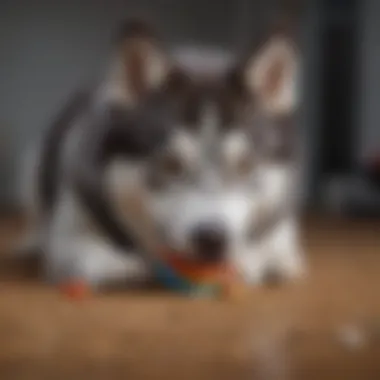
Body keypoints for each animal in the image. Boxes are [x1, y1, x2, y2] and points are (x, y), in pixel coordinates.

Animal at [18, 18, 306, 288]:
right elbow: (116, 260)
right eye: (171, 164)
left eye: (245, 166)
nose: (211, 238)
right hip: (32, 164)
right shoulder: (72, 239)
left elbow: (274, 255)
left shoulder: (282, 235)